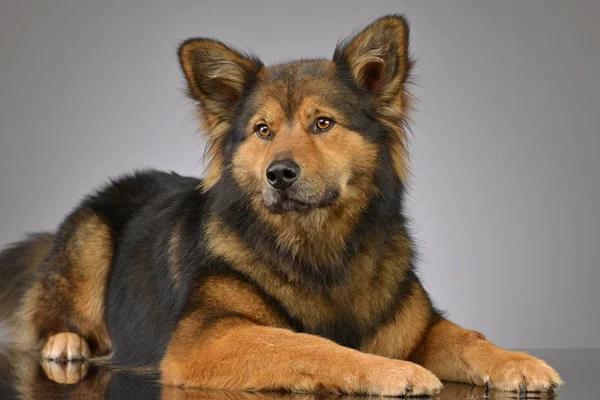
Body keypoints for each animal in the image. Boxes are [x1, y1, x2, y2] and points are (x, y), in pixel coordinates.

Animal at [1, 14, 564, 396]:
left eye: (323, 123)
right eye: (263, 130)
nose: (279, 174)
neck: (318, 245)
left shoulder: (417, 326)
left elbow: (470, 336)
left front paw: (517, 361)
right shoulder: (203, 340)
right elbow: (304, 343)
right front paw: (390, 371)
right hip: (91, 239)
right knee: (50, 314)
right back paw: (67, 344)